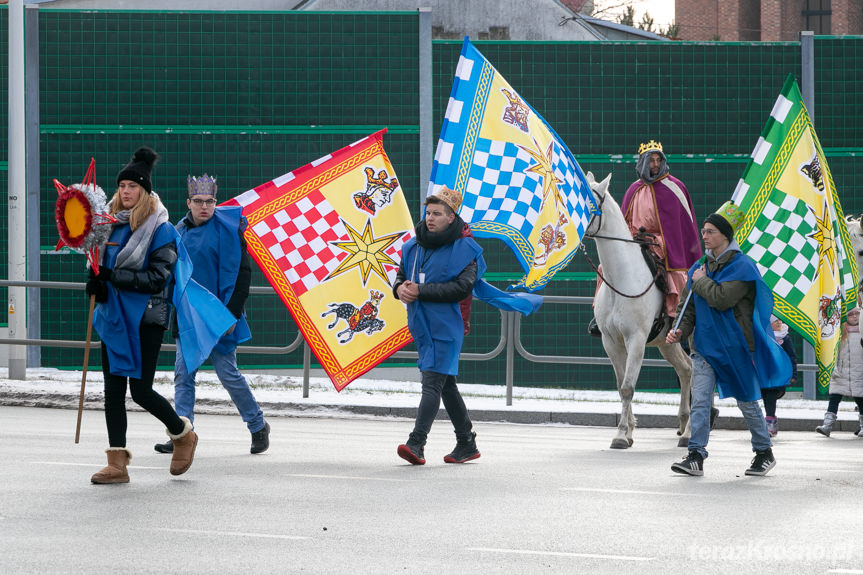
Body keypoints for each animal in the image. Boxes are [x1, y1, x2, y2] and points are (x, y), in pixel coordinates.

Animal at [584, 171, 692, 450]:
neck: (622, 277)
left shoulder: (637, 340)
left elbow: (628, 387)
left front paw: (622, 435)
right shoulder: (611, 341)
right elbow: (620, 384)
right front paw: (629, 430)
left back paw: (689, 433)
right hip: (668, 343)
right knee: (686, 369)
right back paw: (684, 424)